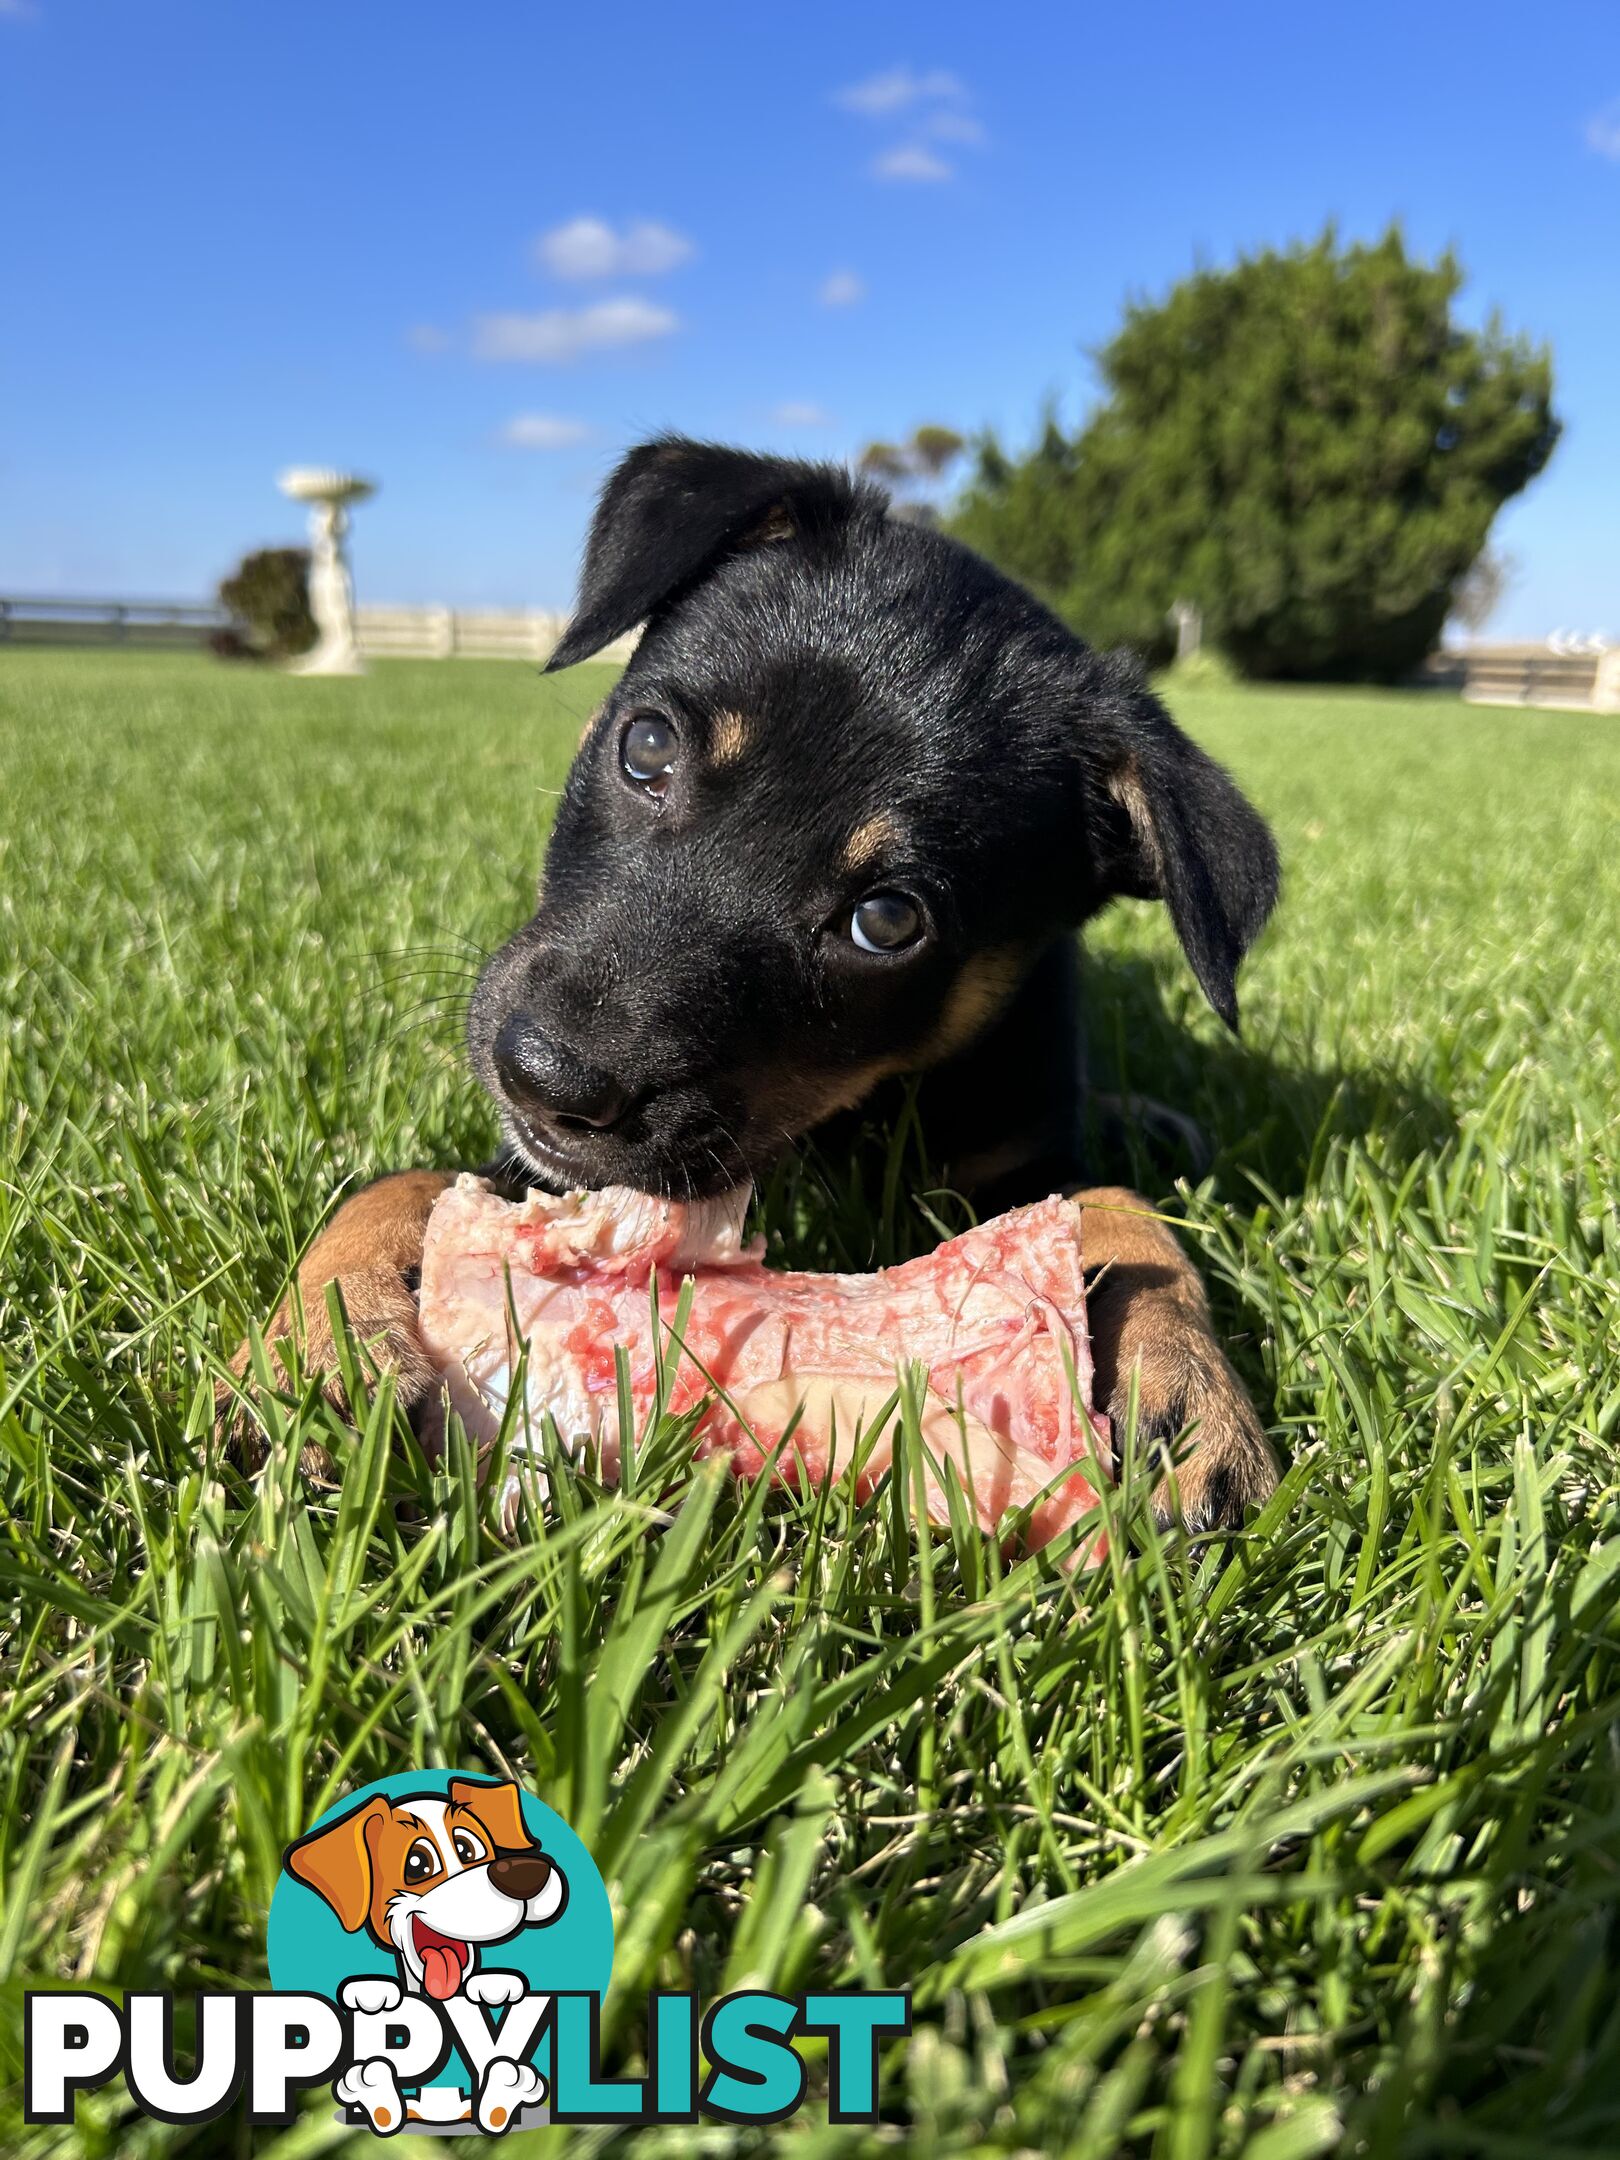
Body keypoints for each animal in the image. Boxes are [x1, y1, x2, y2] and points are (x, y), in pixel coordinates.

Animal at [228, 434, 1287, 1520]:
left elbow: (1129, 1214)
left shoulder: (1032, 1148)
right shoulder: (548, 1167)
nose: (549, 1080)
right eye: (647, 744)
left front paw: (1191, 1394)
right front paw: (324, 1347)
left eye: (887, 921)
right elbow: (397, 1182)